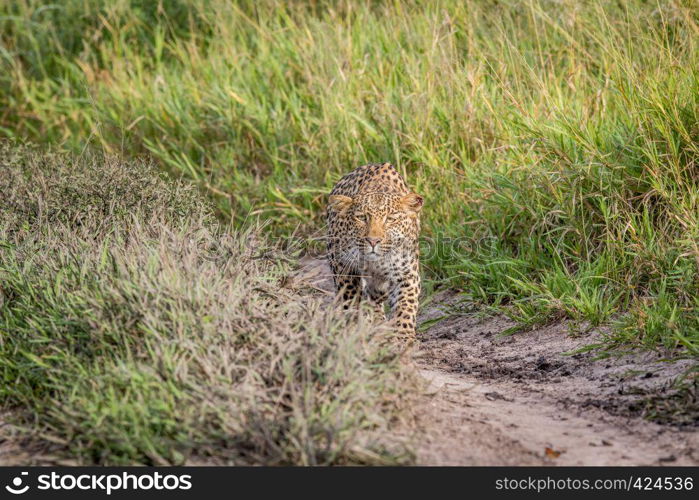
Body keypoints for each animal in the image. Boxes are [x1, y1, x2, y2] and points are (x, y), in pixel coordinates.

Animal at [326, 162, 424, 338]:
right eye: (361, 217)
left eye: (390, 219)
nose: (373, 241)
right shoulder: (343, 265)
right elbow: (350, 297)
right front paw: (353, 326)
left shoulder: (406, 274)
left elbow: (406, 304)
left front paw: (403, 335)